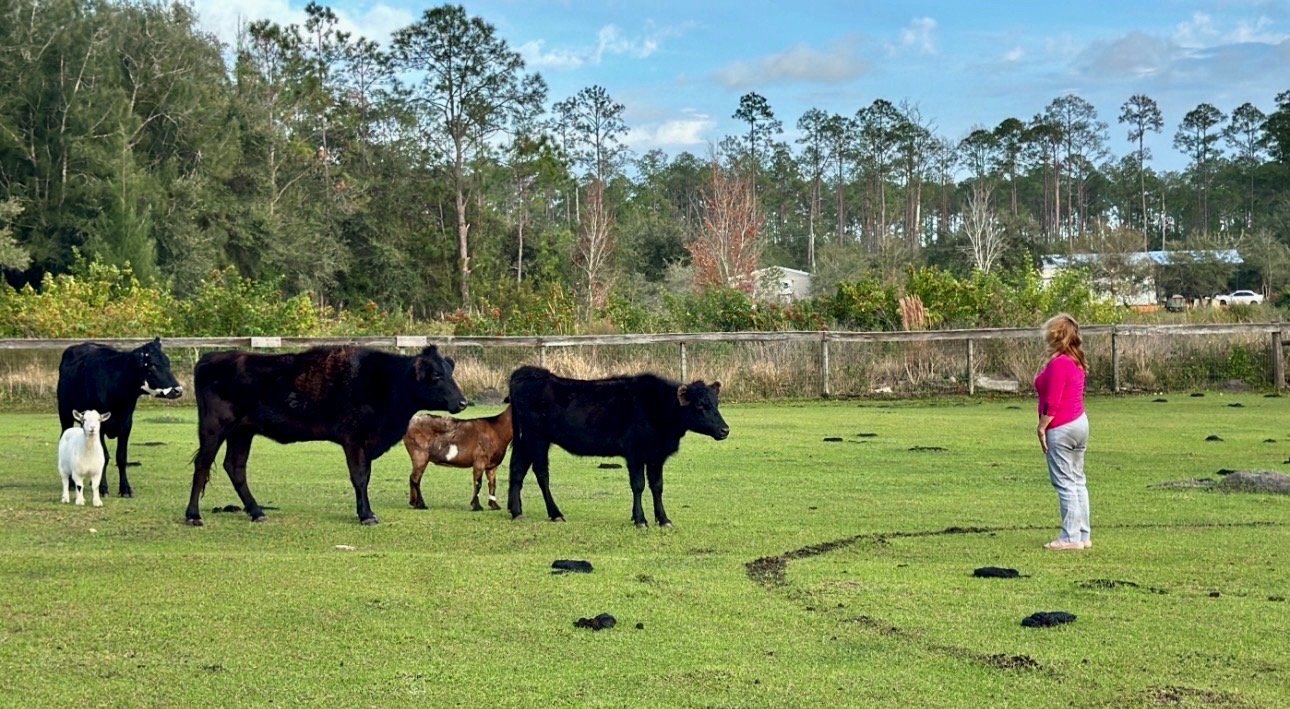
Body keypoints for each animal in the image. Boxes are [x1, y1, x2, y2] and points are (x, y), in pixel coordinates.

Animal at [56, 338, 185, 498]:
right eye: (153, 365)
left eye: (168, 363)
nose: (178, 390)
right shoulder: (100, 425)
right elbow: (104, 456)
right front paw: (103, 488)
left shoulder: (126, 423)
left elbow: (121, 457)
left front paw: (125, 489)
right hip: (65, 414)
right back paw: (72, 484)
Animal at [183, 345, 467, 527]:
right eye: (436, 375)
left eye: (450, 373)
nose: (463, 402)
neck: (384, 381)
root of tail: (210, 358)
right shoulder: (354, 440)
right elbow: (360, 477)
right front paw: (367, 515)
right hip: (214, 429)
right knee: (202, 465)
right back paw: (193, 515)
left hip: (242, 432)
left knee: (235, 467)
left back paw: (257, 512)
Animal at [506, 366, 730, 528]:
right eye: (700, 405)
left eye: (716, 404)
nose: (725, 430)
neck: (657, 406)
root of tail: (525, 372)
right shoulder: (635, 453)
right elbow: (638, 485)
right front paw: (640, 520)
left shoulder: (656, 455)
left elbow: (657, 486)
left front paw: (663, 519)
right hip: (537, 438)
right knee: (541, 473)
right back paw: (555, 514)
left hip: (526, 440)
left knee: (517, 469)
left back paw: (516, 512)